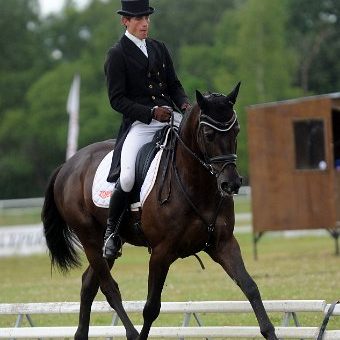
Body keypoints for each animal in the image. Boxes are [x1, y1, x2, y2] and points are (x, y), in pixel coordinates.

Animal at [41, 83, 276, 340]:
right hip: (90, 240)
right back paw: (131, 333)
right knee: (109, 288)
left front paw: (270, 331)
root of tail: (68, 165)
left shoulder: (223, 244)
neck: (195, 185)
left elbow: (250, 287)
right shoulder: (161, 253)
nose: (231, 184)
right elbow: (151, 307)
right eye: (208, 134)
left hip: (106, 247)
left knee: (88, 284)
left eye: (236, 131)